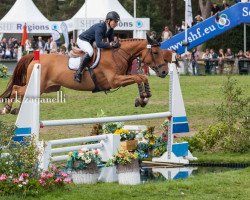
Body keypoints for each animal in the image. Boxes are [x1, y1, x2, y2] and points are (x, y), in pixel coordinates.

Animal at [0, 36, 168, 114]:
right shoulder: (115, 81)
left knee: (22, 93)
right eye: (155, 52)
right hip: (39, 86)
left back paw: (17, 110)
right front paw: (143, 98)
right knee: (16, 89)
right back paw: (7, 109)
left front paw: (143, 98)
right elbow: (140, 77)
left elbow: (141, 77)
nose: (165, 71)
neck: (118, 54)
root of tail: (35, 58)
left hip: (48, 88)